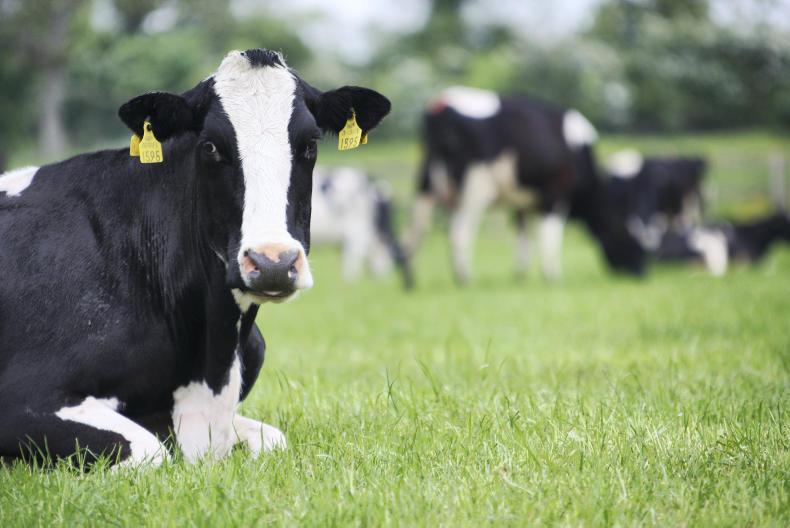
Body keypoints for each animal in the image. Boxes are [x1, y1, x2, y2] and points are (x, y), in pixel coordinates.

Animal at [0, 49, 390, 467]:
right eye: (210, 146)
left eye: (310, 144)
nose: (272, 263)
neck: (212, 362)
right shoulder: (24, 398)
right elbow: (150, 451)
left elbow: (272, 438)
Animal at [402, 86, 645, 284]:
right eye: (629, 240)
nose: (640, 273)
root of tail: (441, 103)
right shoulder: (556, 195)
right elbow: (550, 237)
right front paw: (552, 276)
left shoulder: (522, 203)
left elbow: (523, 239)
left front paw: (520, 276)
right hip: (476, 186)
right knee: (459, 232)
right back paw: (464, 278)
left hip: (426, 182)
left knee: (414, 231)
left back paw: (410, 281)